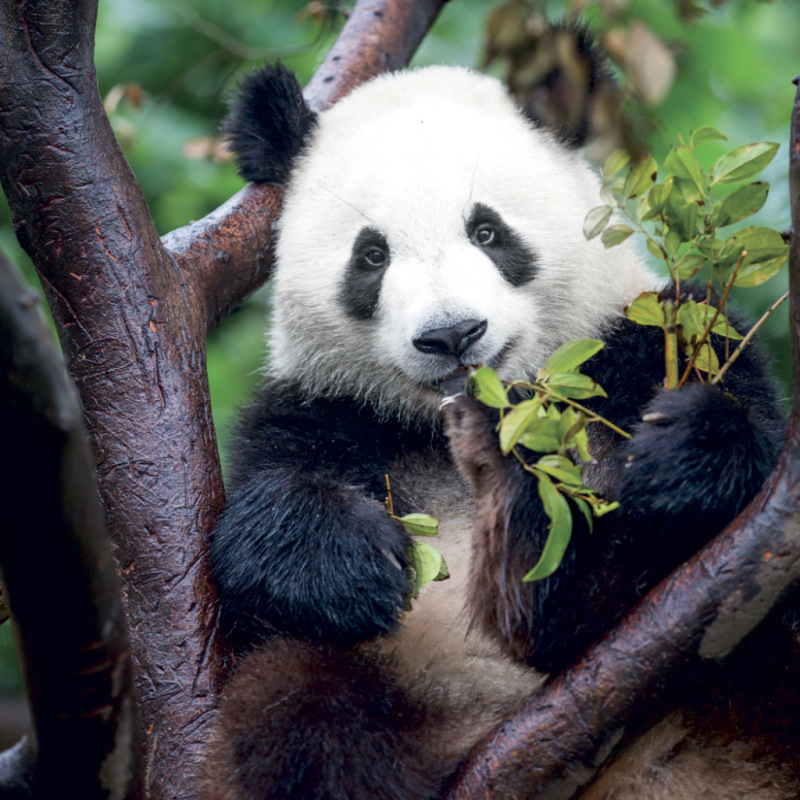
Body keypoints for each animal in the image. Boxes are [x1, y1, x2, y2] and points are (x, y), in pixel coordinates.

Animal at [202, 56, 800, 800]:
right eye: (372, 255)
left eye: (487, 231)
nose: (451, 334)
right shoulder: (324, 413)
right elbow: (251, 547)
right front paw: (354, 563)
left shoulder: (645, 341)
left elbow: (742, 431)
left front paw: (679, 454)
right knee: (299, 709)